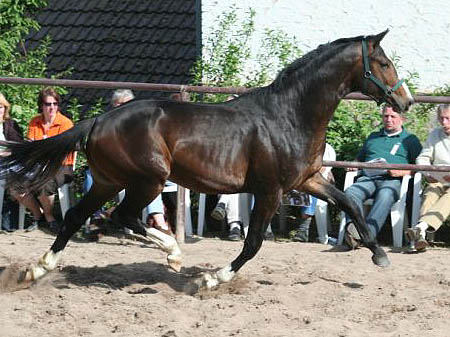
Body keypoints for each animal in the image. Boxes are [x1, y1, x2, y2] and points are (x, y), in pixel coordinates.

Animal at [0, 30, 414, 288]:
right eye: (383, 63)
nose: (405, 101)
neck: (290, 114)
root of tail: (100, 119)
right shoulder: (270, 190)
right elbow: (253, 243)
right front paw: (212, 278)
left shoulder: (307, 180)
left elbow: (351, 204)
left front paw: (379, 255)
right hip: (147, 179)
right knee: (124, 216)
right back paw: (173, 254)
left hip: (107, 180)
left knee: (74, 217)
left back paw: (37, 271)